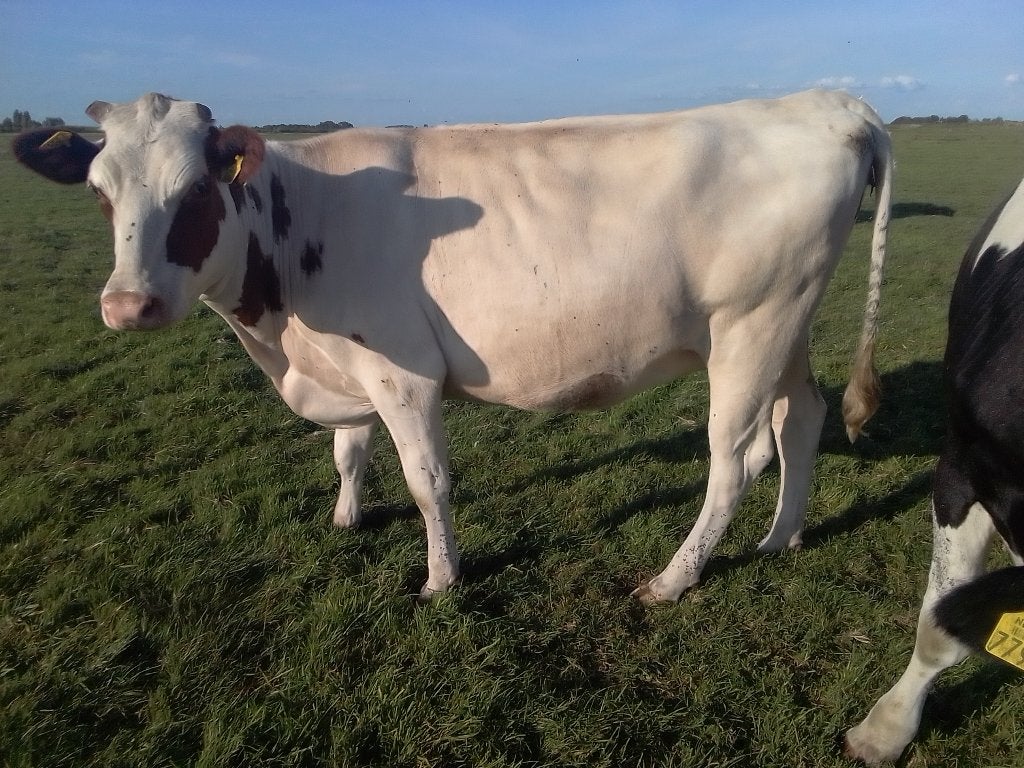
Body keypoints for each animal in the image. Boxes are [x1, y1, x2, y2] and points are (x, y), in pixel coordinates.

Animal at [12, 89, 892, 603]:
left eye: (195, 189)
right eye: (99, 193)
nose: (127, 305)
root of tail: (824, 102)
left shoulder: (401, 371)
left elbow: (427, 480)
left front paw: (440, 577)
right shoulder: (350, 366)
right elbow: (349, 451)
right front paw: (346, 516)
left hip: (751, 324)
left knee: (732, 460)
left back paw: (673, 579)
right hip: (786, 323)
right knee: (800, 420)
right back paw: (783, 536)